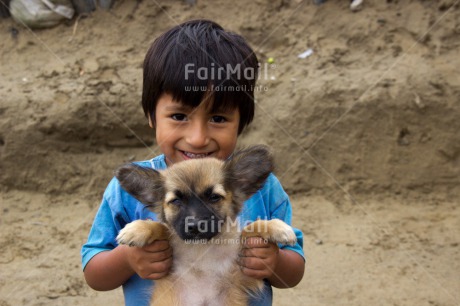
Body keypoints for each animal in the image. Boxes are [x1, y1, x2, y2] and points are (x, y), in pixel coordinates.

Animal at [117, 145, 296, 304]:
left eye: (214, 197)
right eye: (176, 201)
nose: (195, 225)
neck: (201, 250)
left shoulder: (241, 274)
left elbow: (250, 227)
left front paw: (277, 227)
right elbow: (161, 227)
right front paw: (137, 229)